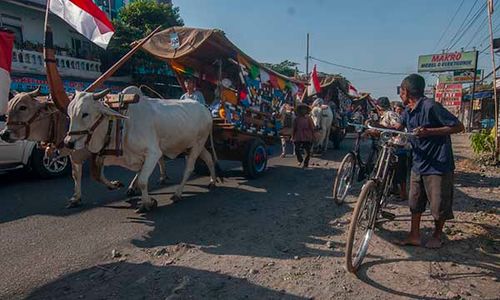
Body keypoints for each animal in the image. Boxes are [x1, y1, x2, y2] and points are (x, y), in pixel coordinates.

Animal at [63, 88, 219, 212]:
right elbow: (94, 176)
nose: (68, 143)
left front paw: (147, 203)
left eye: (85, 114)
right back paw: (212, 181)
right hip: (193, 145)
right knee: (208, 158)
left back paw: (178, 194)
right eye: (69, 114)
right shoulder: (100, 156)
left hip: (198, 144)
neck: (121, 126)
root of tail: (204, 107)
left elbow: (143, 180)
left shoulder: (153, 153)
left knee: (189, 168)